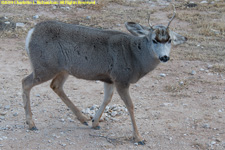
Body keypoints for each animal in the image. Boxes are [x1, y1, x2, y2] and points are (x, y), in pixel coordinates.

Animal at [22, 5, 186, 145]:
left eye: (170, 40)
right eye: (154, 40)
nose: (164, 57)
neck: (135, 56)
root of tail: (30, 33)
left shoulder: (109, 79)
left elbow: (107, 99)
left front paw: (95, 122)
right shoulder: (121, 78)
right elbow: (130, 105)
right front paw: (138, 137)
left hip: (62, 69)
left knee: (55, 85)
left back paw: (83, 119)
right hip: (45, 66)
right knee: (26, 82)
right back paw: (31, 124)